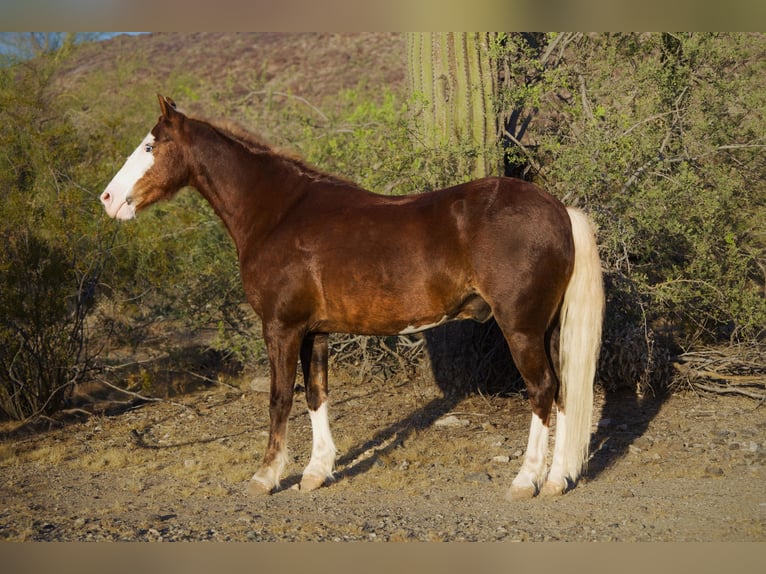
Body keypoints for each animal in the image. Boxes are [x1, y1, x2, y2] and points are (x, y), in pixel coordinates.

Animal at [101, 95, 604, 500]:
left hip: (520, 328)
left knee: (541, 391)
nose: (108, 199)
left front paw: (266, 477)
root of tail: (559, 210)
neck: (278, 212)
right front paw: (316, 472)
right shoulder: (315, 332)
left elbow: (279, 398)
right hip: (547, 327)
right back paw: (558, 479)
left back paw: (526, 480)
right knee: (563, 392)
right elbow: (316, 395)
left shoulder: (281, 328)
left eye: (150, 146)